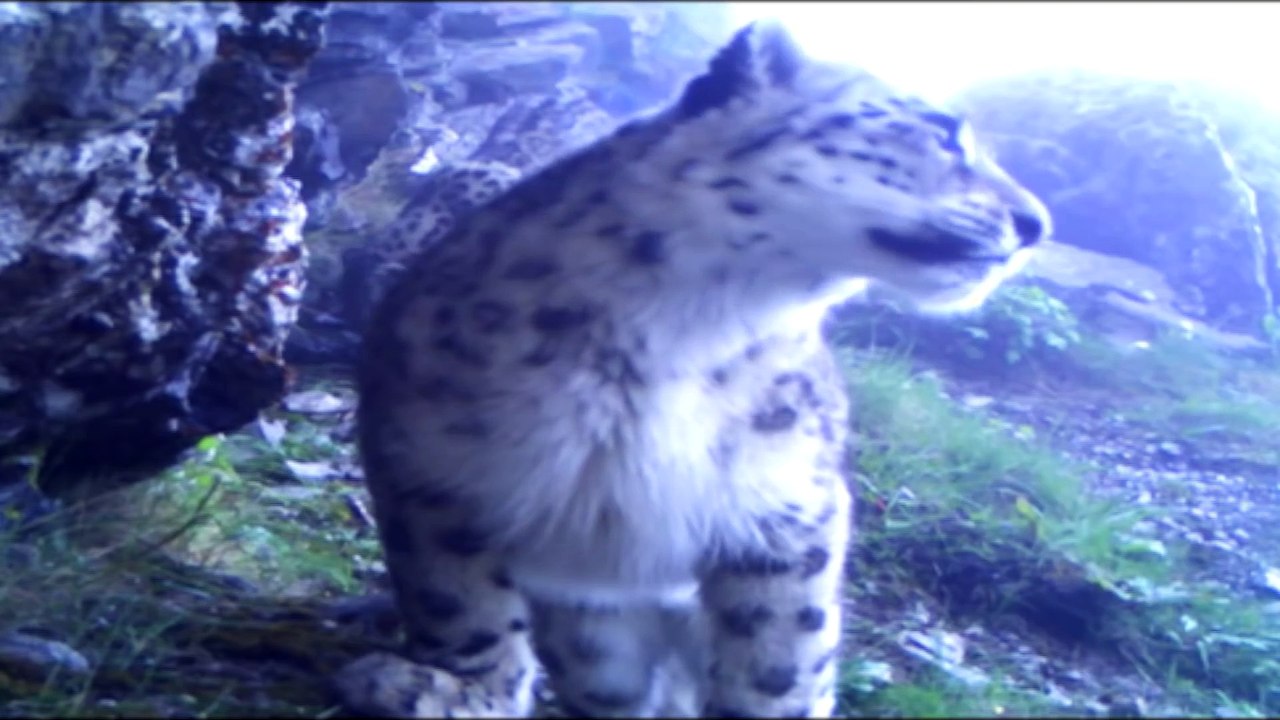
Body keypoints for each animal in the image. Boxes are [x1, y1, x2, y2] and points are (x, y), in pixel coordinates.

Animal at [335, 19, 1051, 719]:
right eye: (943, 130)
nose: (1036, 223)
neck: (688, 329)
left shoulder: (788, 510)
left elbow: (779, 658)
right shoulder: (426, 468)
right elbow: (460, 604)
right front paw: (457, 691)